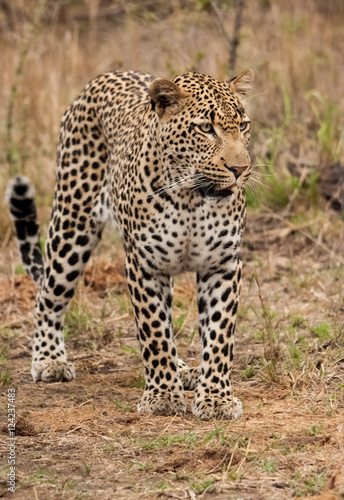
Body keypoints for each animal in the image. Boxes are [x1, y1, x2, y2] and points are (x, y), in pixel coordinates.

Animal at [6, 68, 254, 420]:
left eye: (243, 125)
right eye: (206, 128)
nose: (240, 169)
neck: (192, 198)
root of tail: (104, 76)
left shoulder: (222, 264)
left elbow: (219, 336)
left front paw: (216, 399)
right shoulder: (144, 264)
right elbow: (154, 332)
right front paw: (162, 396)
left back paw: (185, 371)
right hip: (71, 226)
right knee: (48, 297)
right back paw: (49, 359)